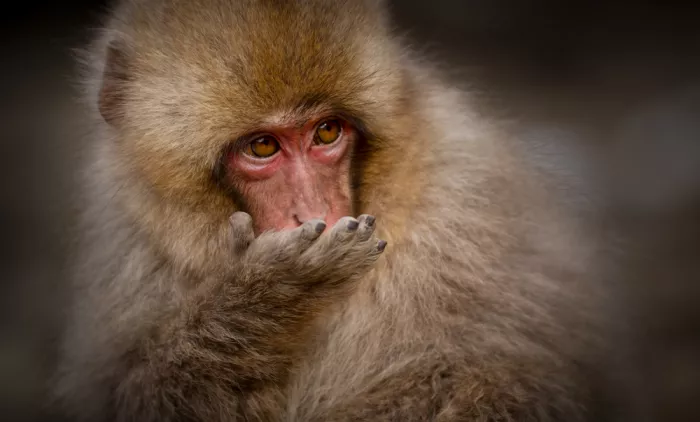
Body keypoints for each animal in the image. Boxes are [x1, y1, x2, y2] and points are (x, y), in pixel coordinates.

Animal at [51, 0, 609, 421]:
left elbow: (499, 382)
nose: (314, 213)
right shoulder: (128, 235)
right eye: (261, 146)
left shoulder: (467, 212)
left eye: (326, 132)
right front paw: (270, 296)